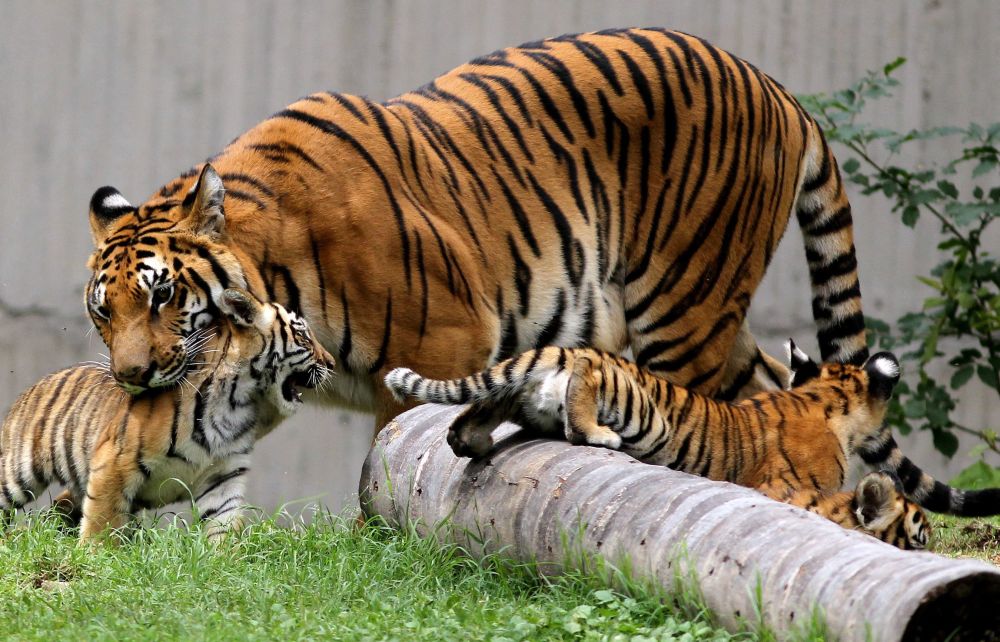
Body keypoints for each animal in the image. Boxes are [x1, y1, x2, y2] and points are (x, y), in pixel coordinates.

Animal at [84, 28, 868, 430]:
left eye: (162, 297)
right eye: (103, 314)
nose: (130, 377)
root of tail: (783, 94)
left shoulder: (442, 341)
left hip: (684, 306)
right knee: (772, 388)